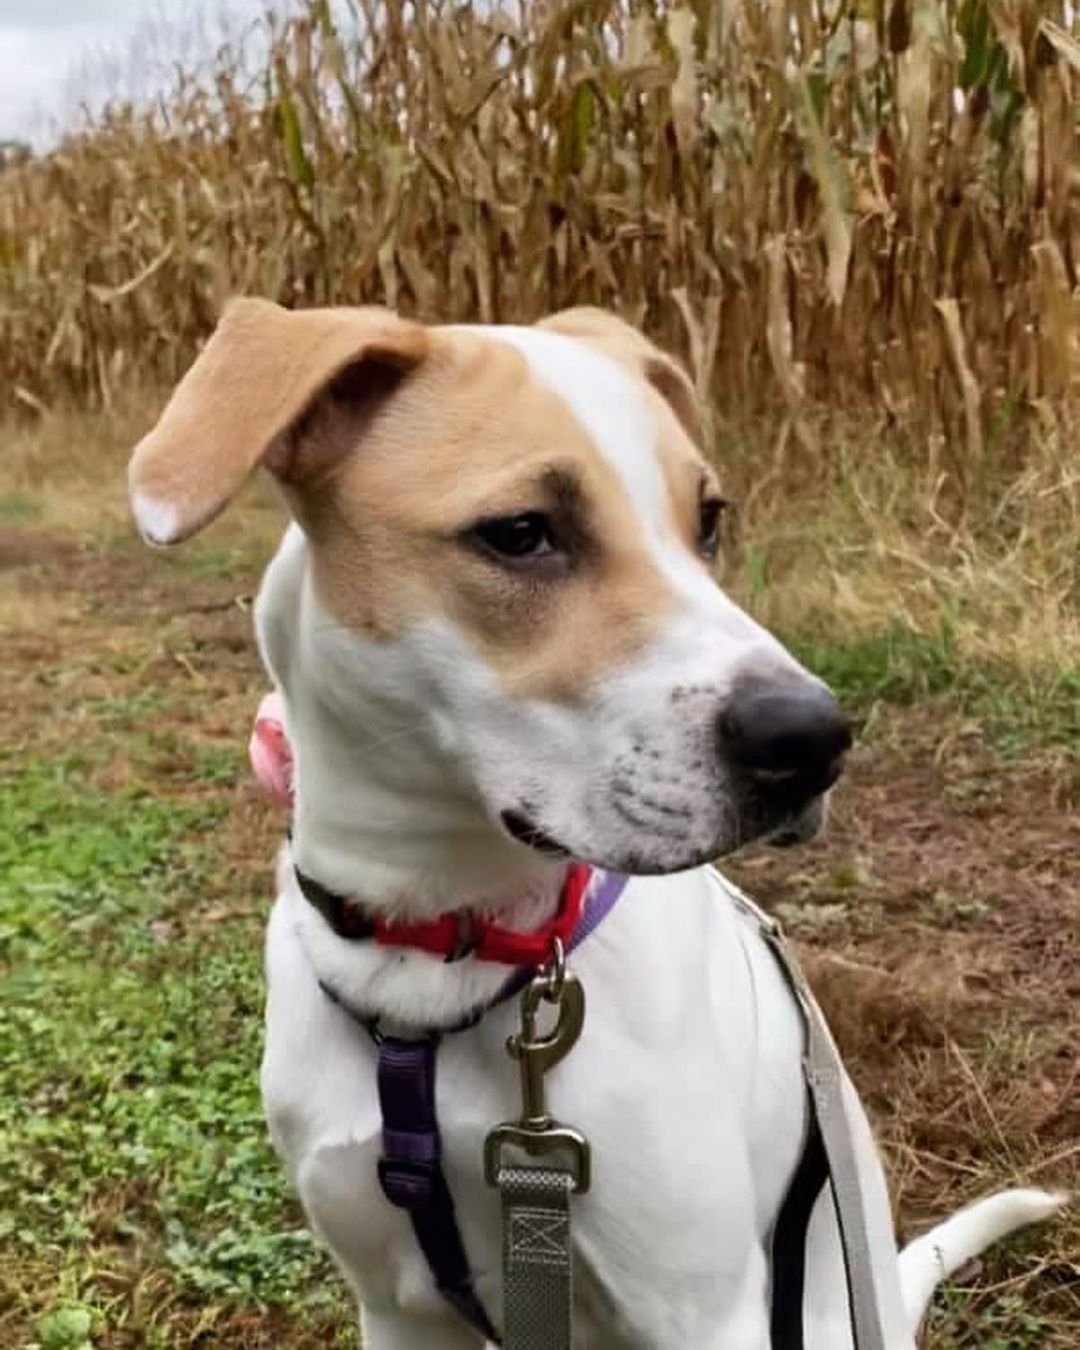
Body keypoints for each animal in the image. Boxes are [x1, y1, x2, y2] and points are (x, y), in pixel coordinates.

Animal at [128, 301, 1063, 1344]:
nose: (813, 738)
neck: (439, 949)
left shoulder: (701, 1310)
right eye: (520, 532)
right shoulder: (396, 1302)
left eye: (708, 520)